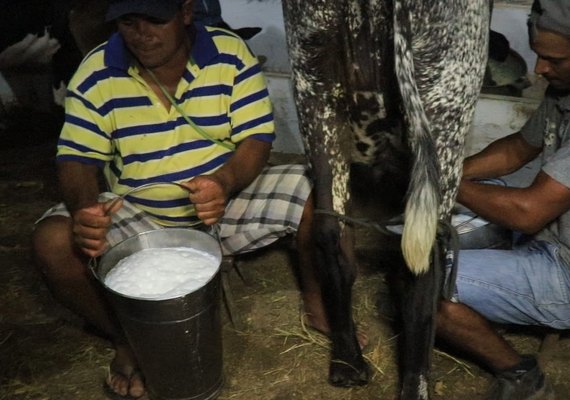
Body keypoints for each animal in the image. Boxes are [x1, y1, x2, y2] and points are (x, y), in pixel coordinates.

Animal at [280, 1, 488, 398]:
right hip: (447, 97)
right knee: (423, 266)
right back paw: (415, 386)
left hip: (313, 81)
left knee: (331, 232)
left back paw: (348, 364)